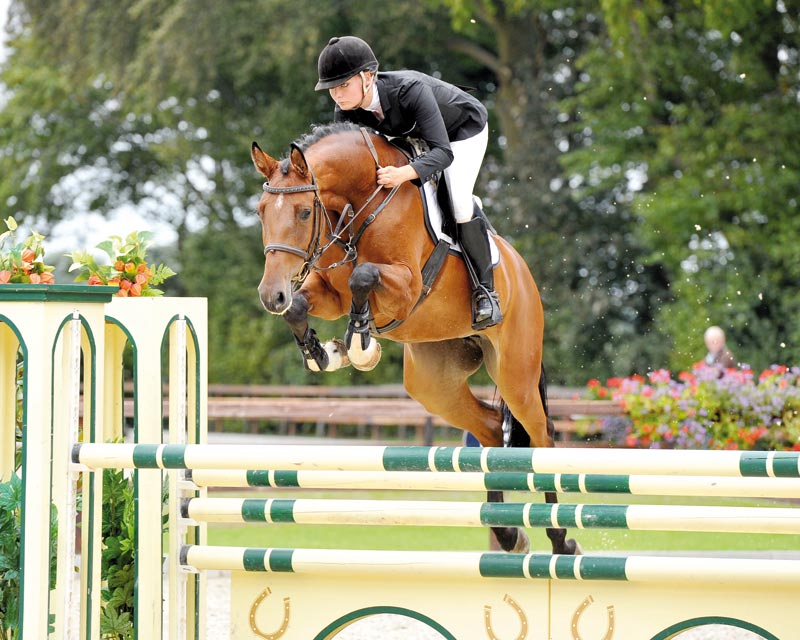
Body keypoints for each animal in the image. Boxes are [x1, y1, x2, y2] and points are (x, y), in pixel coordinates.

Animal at [250, 122, 580, 556]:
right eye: (260, 212)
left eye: (305, 212)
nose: (271, 295)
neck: (361, 204)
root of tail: (521, 271)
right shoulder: (330, 293)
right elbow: (301, 308)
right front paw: (325, 354)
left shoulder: (405, 287)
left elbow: (364, 277)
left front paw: (360, 346)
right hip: (433, 383)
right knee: (492, 429)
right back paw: (508, 533)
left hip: (516, 374)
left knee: (541, 437)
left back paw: (561, 541)